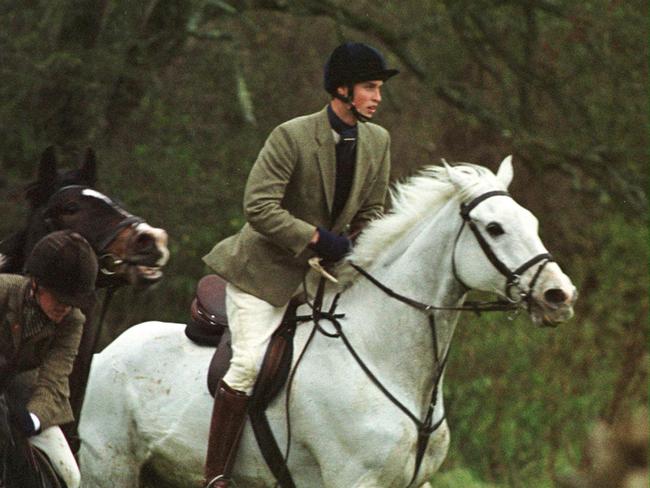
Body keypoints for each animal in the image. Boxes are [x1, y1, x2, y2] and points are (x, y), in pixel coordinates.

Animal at [79, 158, 572, 486]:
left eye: (531, 221)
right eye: (494, 229)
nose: (559, 296)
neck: (385, 357)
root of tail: (105, 355)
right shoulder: (352, 479)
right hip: (110, 468)